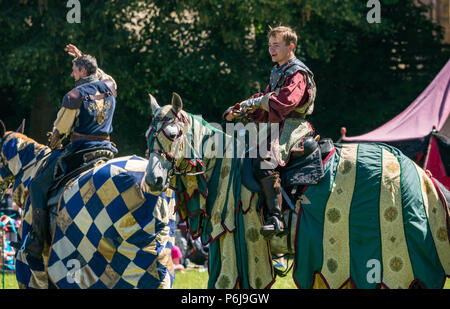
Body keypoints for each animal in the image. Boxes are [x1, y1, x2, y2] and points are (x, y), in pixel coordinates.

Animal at [145, 92, 450, 288]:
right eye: (149, 136)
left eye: (172, 133)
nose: (153, 180)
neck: (225, 166)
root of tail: (426, 179)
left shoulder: (239, 245)